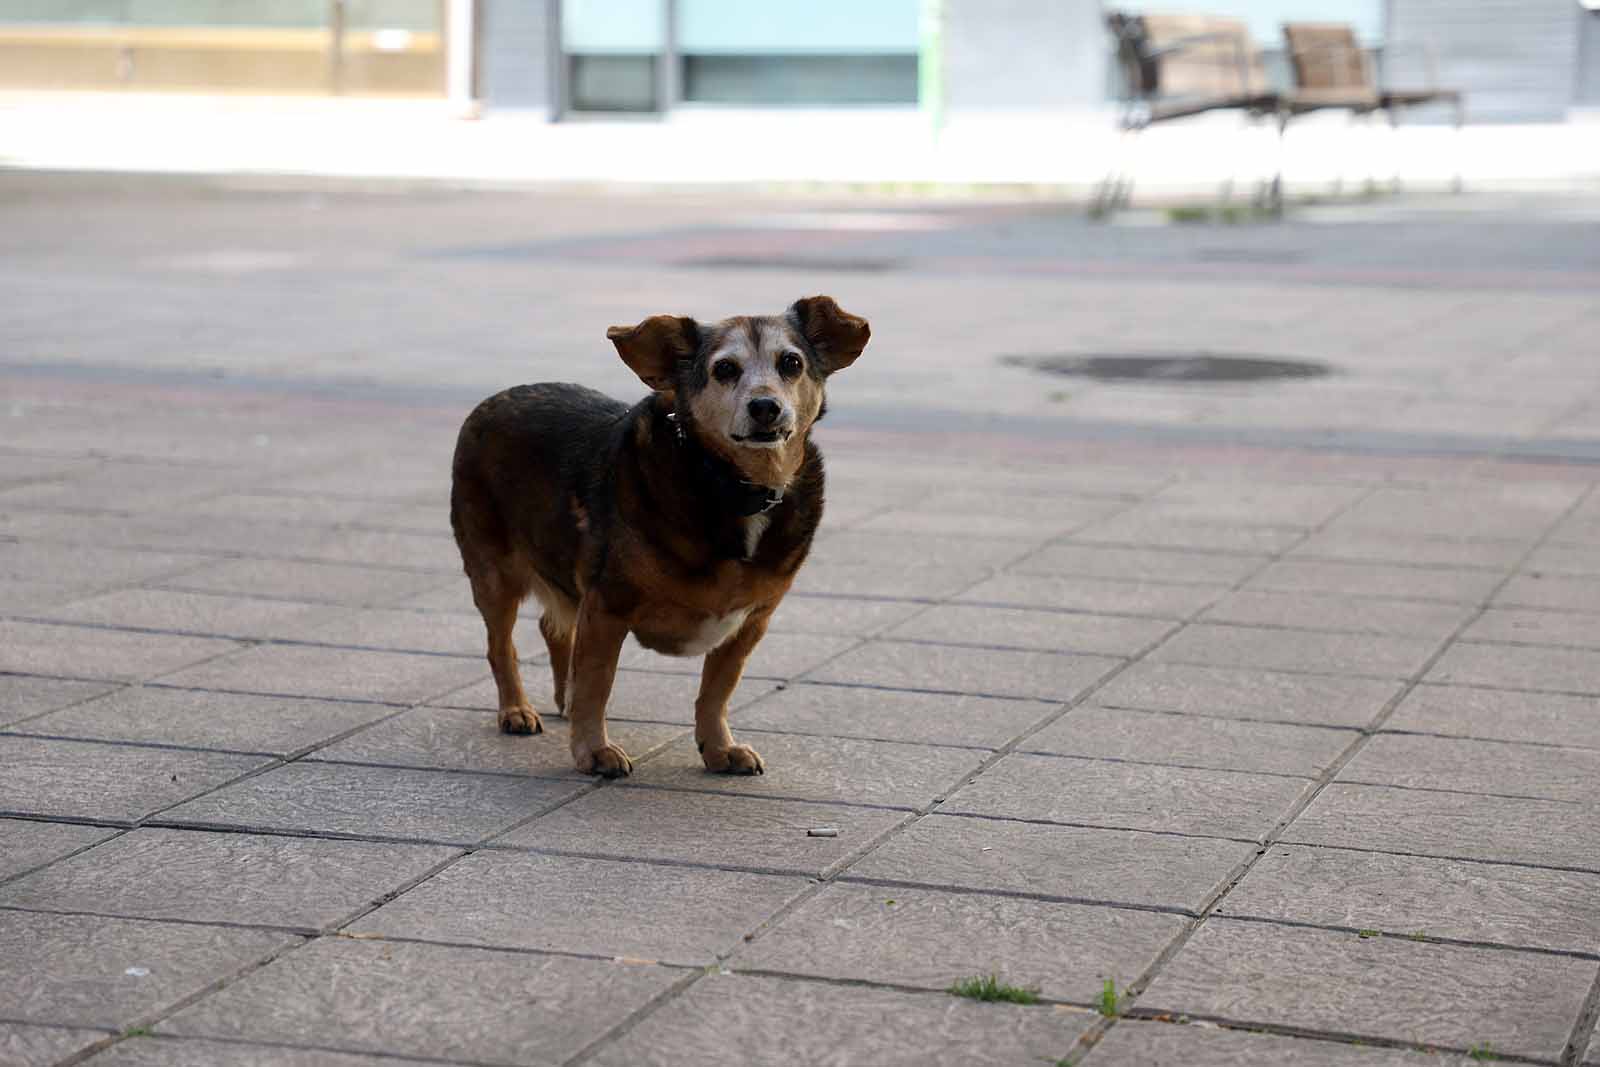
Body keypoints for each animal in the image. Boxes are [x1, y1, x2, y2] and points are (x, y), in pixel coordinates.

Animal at [451, 295, 870, 780]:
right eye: (724, 369)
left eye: (792, 363)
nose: (765, 406)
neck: (732, 486)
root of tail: (491, 400)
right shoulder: (606, 607)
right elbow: (597, 683)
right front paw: (594, 749)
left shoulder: (751, 622)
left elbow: (717, 690)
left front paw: (718, 747)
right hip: (494, 575)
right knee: (501, 646)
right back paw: (516, 709)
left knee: (552, 629)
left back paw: (562, 699)